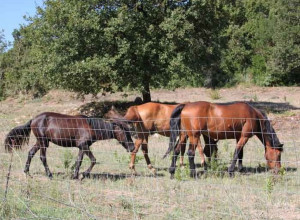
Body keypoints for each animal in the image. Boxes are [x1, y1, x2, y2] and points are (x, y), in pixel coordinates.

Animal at [3, 111, 134, 179]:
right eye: (126, 133)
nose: (132, 147)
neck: (91, 126)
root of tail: (33, 119)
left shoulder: (82, 147)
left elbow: (79, 161)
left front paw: (76, 176)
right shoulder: (84, 146)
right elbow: (93, 160)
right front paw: (84, 174)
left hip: (40, 142)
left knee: (30, 153)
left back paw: (27, 172)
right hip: (43, 142)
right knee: (42, 157)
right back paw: (49, 175)